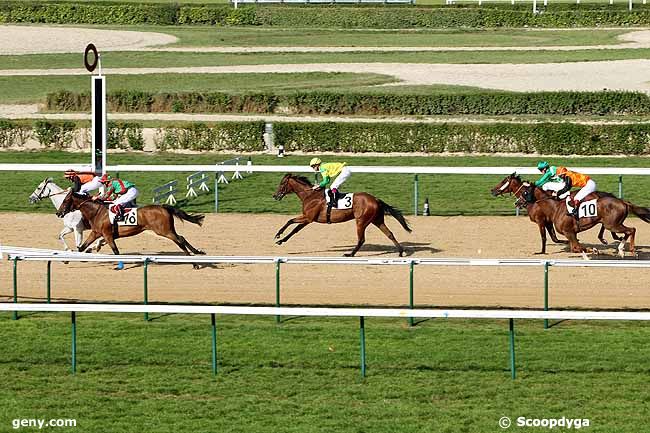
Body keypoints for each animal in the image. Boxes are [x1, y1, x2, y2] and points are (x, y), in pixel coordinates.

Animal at [60, 190, 205, 264]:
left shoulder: (107, 235)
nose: (58, 212)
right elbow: (81, 247)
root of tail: (163, 207)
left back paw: (194, 263)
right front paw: (66, 259)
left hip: (164, 230)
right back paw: (198, 252)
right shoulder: (96, 233)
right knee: (182, 238)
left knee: (180, 241)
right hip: (168, 230)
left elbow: (116, 251)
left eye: (65, 200)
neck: (97, 212)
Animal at [270, 173, 408, 256]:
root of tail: (376, 199)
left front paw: (278, 235)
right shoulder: (308, 219)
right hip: (377, 220)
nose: (275, 196)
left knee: (361, 239)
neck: (310, 195)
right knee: (390, 234)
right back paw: (401, 252)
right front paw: (281, 241)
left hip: (361, 221)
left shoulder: (308, 218)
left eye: (282, 183)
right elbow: (295, 230)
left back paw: (350, 254)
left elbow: (290, 221)